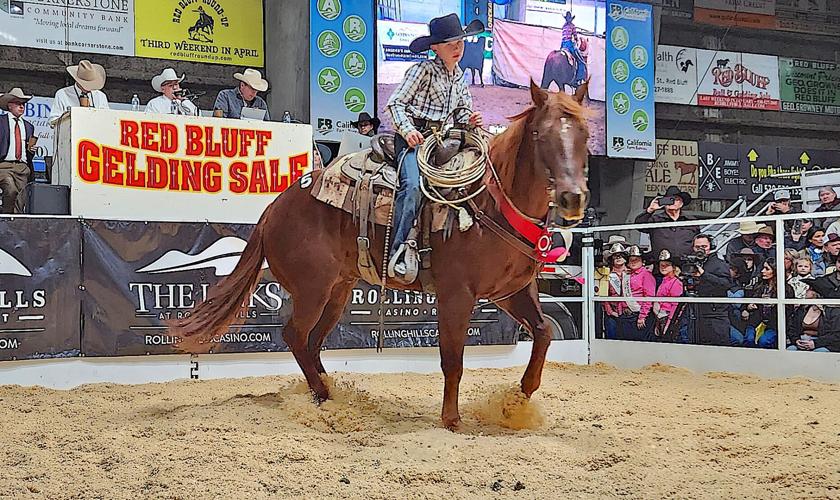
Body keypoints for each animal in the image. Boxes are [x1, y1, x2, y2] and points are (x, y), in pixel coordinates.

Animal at [176, 83, 592, 430]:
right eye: (540, 134)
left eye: (585, 135)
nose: (573, 199)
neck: (489, 203)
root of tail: (274, 209)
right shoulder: (456, 295)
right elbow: (453, 359)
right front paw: (451, 419)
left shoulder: (510, 291)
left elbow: (543, 332)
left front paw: (518, 399)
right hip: (313, 289)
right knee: (295, 335)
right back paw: (324, 394)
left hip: (338, 291)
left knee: (312, 342)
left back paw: (326, 391)